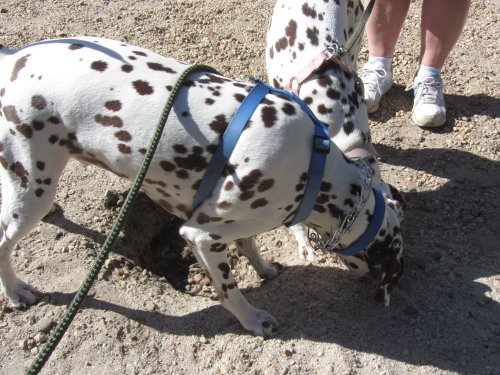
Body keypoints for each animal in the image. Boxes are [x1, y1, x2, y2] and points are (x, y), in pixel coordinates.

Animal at [0, 37, 402, 338]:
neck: (314, 168)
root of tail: (14, 58)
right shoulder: (201, 236)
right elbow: (229, 290)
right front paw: (253, 320)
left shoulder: (232, 221)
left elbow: (249, 245)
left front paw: (264, 269)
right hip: (31, 187)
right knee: (4, 242)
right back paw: (16, 292)